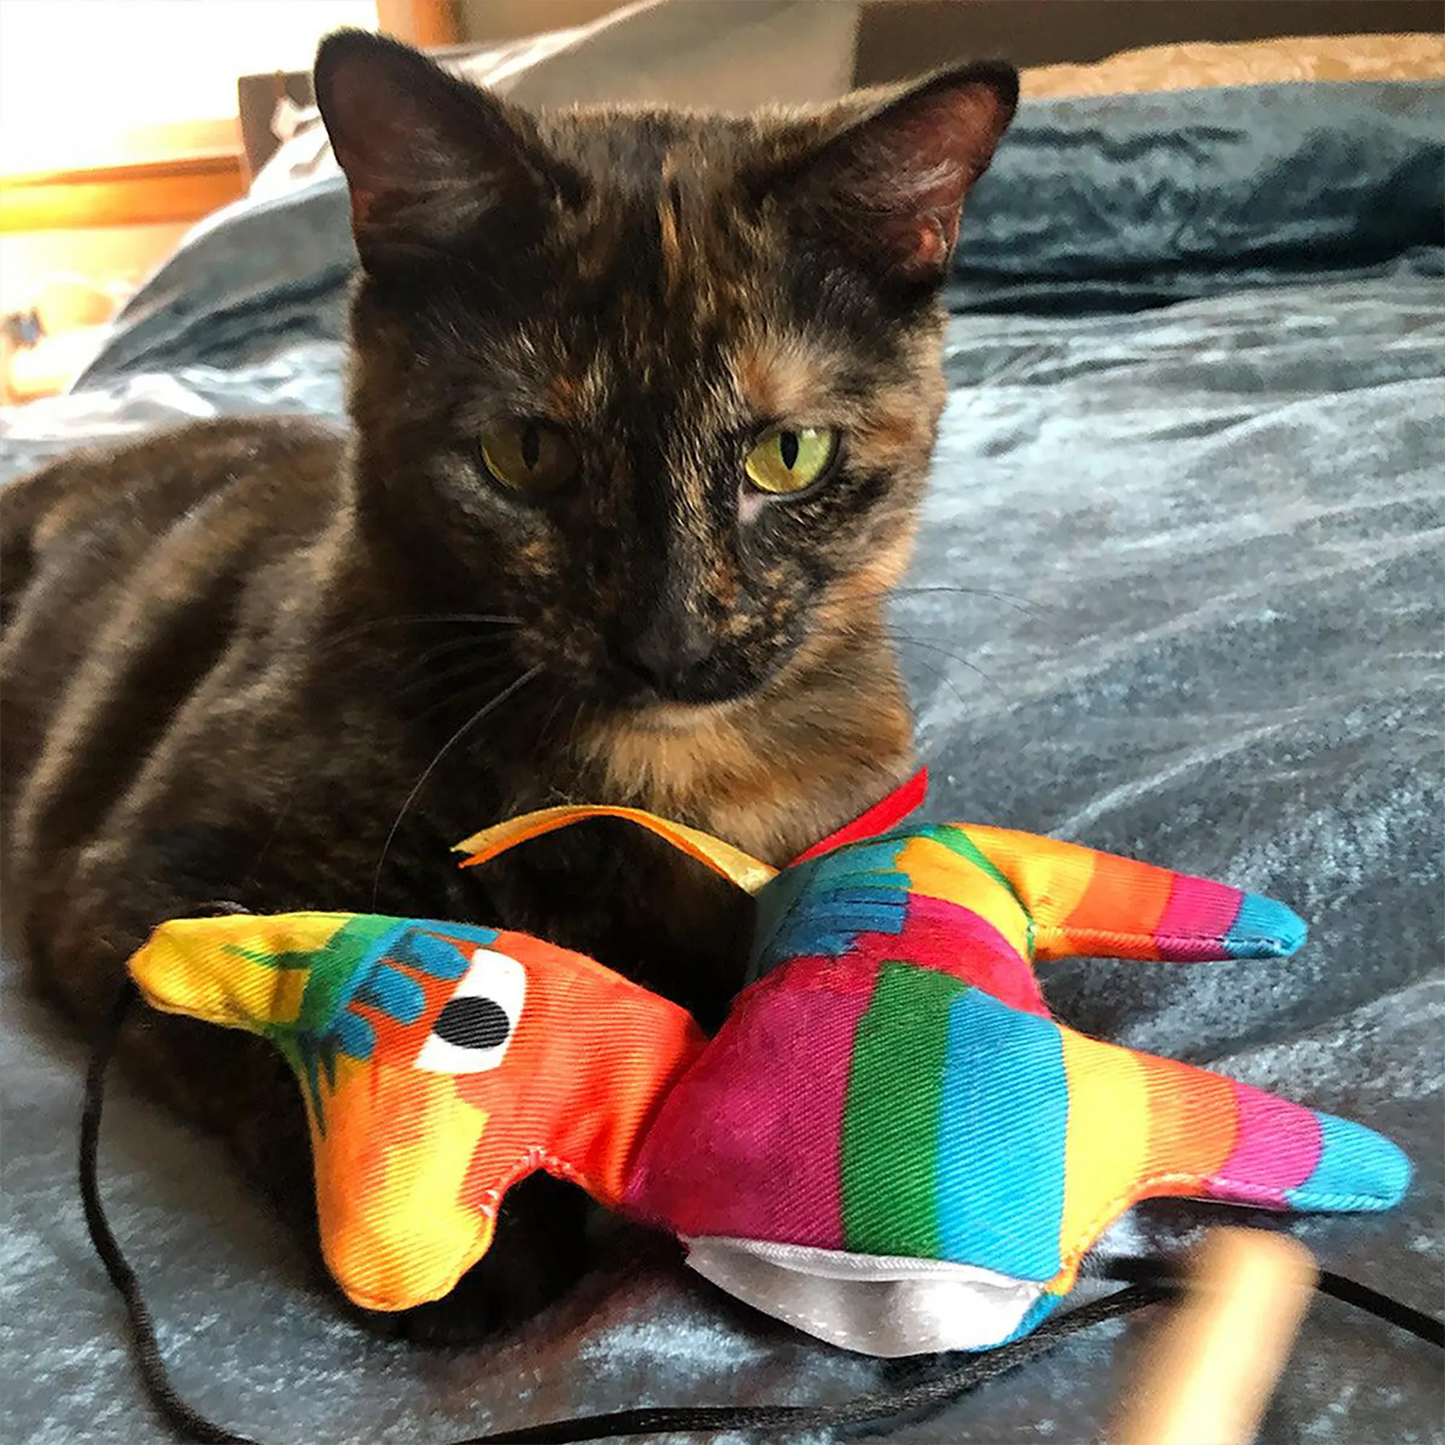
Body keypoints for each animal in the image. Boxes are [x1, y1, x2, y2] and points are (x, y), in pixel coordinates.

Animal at [0, 31, 1017, 1329]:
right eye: (524, 455)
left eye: (786, 455)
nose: (666, 641)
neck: (643, 781)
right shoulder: (129, 885)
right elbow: (267, 1029)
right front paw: (477, 1252)